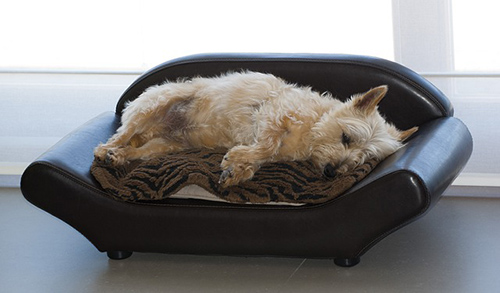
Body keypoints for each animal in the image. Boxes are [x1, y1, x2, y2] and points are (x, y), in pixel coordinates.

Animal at [94, 72, 418, 188]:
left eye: (364, 159)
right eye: (346, 137)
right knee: (122, 134)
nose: (330, 173)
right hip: (155, 104)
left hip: (167, 145)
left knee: (139, 150)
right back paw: (105, 150)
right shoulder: (271, 115)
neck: (313, 125)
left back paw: (119, 157)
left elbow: (262, 157)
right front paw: (238, 158)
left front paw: (238, 168)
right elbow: (266, 145)